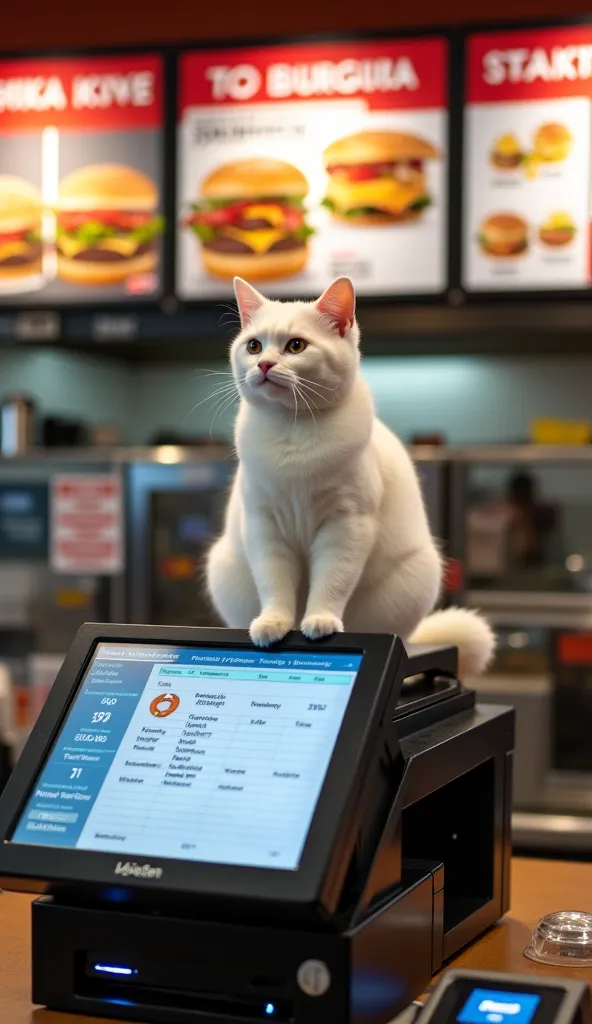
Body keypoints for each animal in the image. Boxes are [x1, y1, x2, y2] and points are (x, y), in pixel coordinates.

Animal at [204, 278, 491, 679]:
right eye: (253, 345)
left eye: (296, 345)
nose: (263, 364)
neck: (293, 433)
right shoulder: (264, 525)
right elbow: (274, 581)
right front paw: (273, 623)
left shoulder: (347, 524)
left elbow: (333, 580)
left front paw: (321, 621)